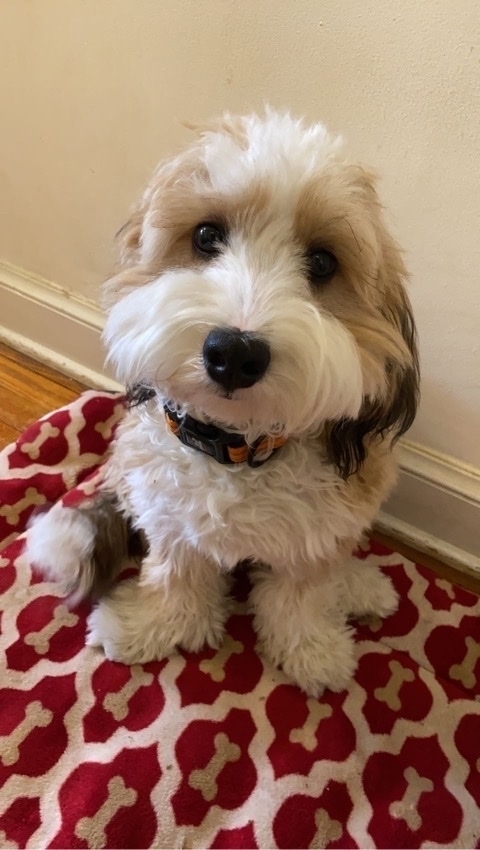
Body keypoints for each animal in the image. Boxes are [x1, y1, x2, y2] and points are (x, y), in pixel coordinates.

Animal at [27, 110, 419, 696]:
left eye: (322, 263)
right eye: (207, 236)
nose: (234, 352)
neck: (238, 450)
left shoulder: (318, 532)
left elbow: (301, 592)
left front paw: (311, 648)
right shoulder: (169, 517)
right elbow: (175, 575)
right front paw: (158, 625)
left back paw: (355, 585)